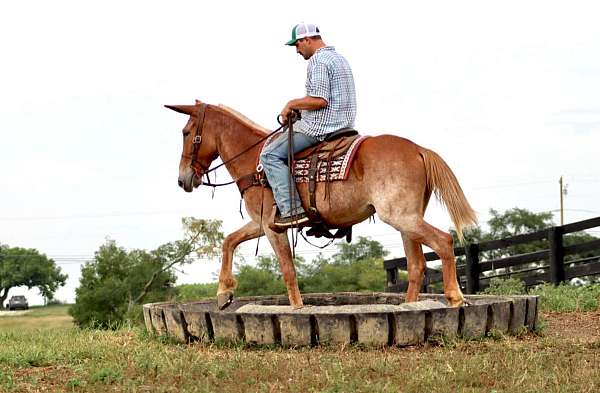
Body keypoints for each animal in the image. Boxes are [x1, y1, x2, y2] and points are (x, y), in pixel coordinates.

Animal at [165, 99, 478, 310]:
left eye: (186, 132)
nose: (182, 179)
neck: (254, 160)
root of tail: (418, 150)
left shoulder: (271, 226)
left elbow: (288, 270)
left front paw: (297, 309)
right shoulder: (260, 223)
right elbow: (229, 241)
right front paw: (224, 293)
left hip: (402, 218)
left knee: (443, 241)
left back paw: (455, 297)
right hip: (407, 221)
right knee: (416, 265)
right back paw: (409, 306)